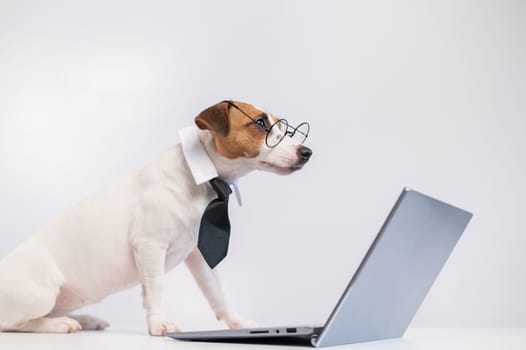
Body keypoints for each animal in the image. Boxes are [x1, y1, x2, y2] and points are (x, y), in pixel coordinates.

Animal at [0, 100, 314, 334]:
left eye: (283, 127)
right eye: (260, 123)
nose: (307, 151)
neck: (203, 179)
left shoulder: (199, 255)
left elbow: (218, 293)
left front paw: (237, 323)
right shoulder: (150, 246)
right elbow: (156, 289)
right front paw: (159, 324)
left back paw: (86, 320)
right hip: (41, 292)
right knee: (15, 324)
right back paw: (59, 324)